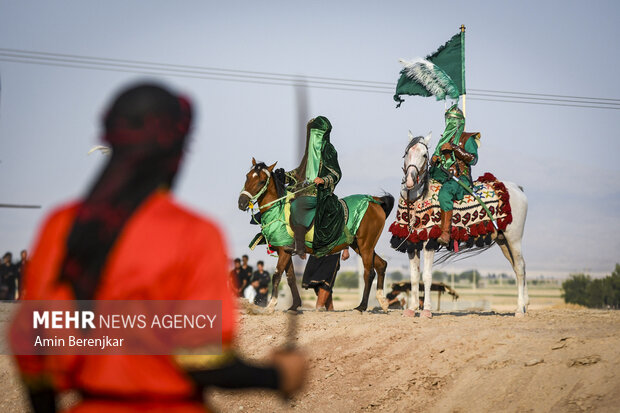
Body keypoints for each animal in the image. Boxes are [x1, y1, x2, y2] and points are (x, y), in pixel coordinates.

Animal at [237, 159, 392, 312]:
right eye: (247, 176)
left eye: (262, 181)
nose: (242, 202)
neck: (279, 211)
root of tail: (373, 200)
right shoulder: (286, 251)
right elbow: (291, 278)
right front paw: (294, 305)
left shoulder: (284, 251)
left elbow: (276, 276)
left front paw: (271, 305)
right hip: (359, 245)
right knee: (381, 265)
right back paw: (383, 302)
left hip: (366, 245)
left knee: (369, 273)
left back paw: (362, 306)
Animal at [402, 132, 528, 316]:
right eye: (407, 152)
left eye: (424, 155)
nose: (410, 180)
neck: (419, 197)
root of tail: (517, 188)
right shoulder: (412, 243)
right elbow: (413, 277)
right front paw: (411, 310)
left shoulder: (428, 242)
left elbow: (426, 276)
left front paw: (426, 310)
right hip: (503, 240)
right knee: (516, 268)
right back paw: (524, 305)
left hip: (514, 238)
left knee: (519, 267)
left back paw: (519, 310)